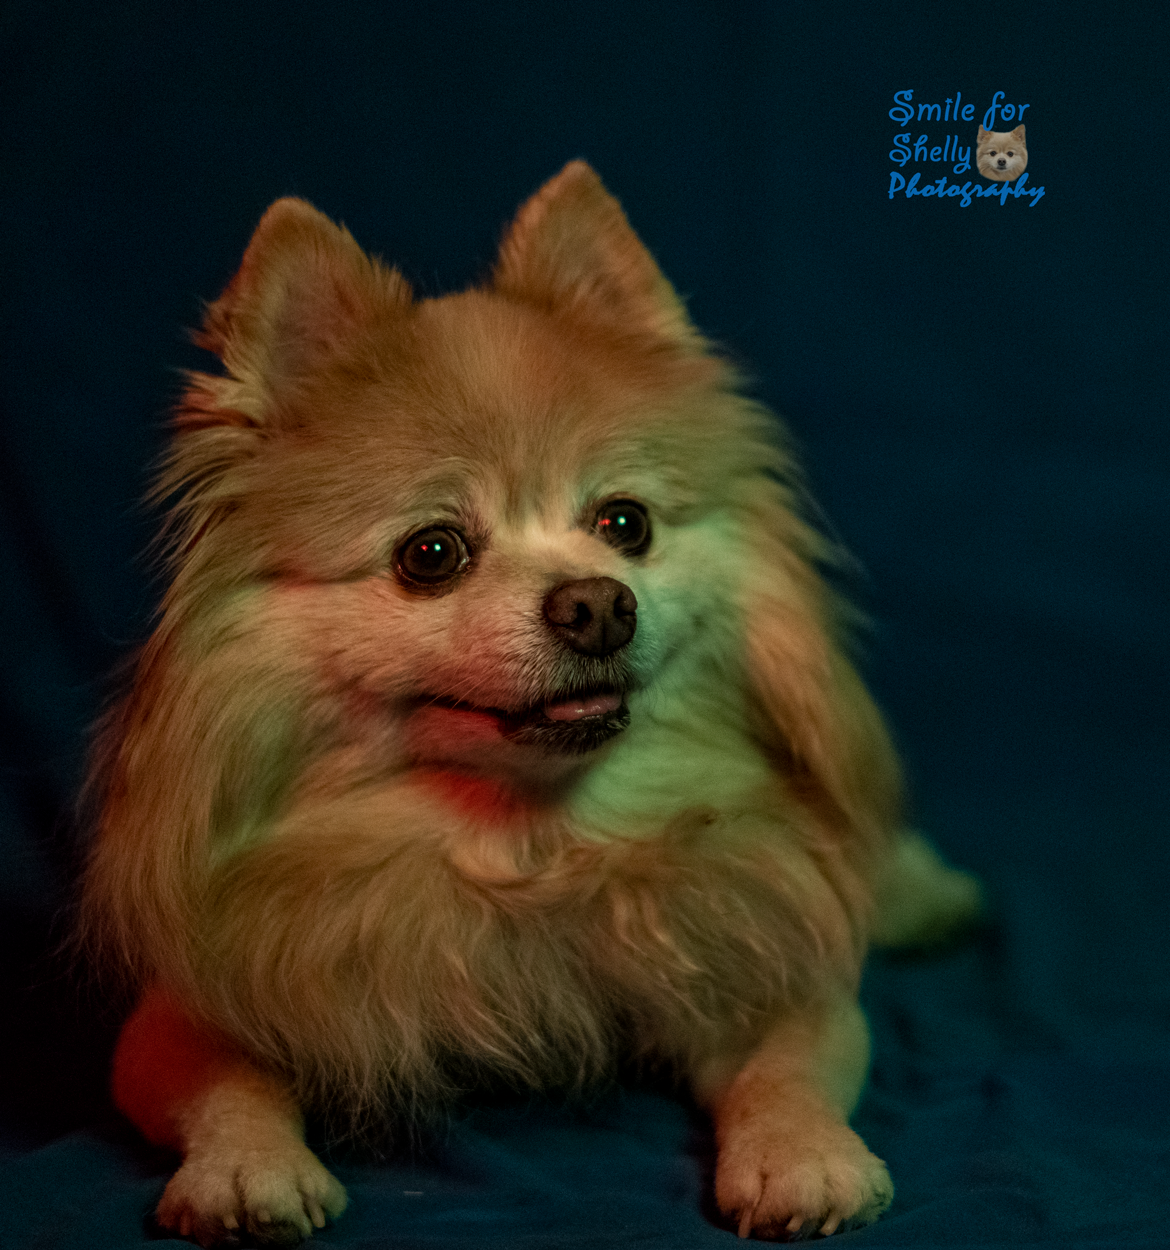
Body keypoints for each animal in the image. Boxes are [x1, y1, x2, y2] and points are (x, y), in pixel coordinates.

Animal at [80, 162, 981, 1245]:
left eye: (625, 523)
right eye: (431, 552)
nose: (596, 604)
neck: (529, 846)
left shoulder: (769, 956)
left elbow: (789, 1067)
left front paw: (800, 1157)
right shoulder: (188, 1003)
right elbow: (229, 1084)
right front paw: (247, 1170)